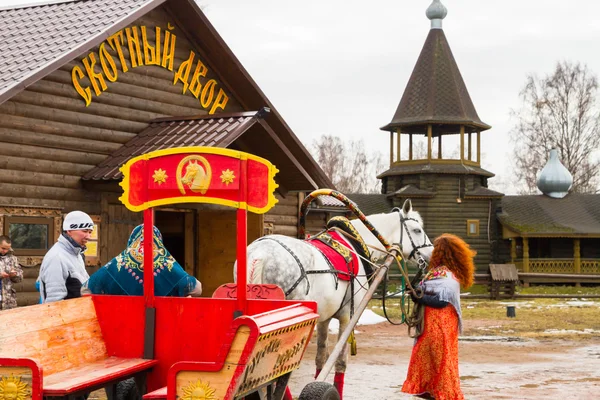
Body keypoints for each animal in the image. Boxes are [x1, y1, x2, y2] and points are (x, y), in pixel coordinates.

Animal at [234, 198, 432, 398]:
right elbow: (340, 361)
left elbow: (321, 357)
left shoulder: (323, 319)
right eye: (417, 230)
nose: (430, 255)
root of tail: (259, 255)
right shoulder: (348, 317)